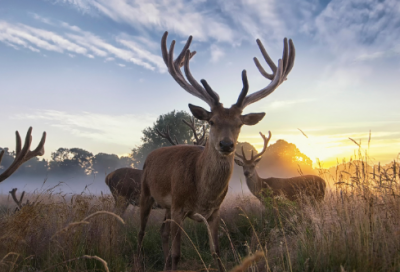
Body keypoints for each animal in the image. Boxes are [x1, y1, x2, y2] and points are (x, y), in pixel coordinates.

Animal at [139, 30, 296, 270]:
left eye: (239, 124)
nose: (226, 144)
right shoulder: (178, 206)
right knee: (141, 234)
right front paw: (173, 262)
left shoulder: (214, 212)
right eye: (211, 121)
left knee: (162, 231)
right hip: (145, 193)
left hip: (165, 206)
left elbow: (217, 252)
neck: (202, 194)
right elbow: (177, 254)